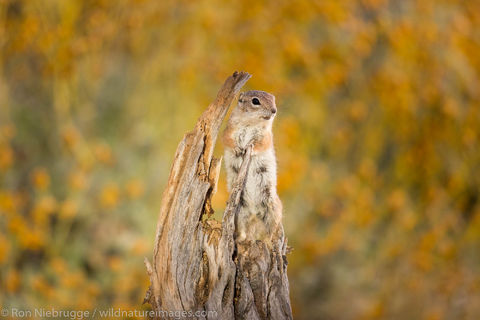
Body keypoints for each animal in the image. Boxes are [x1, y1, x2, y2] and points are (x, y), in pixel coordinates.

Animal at [222, 90, 282, 242]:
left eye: (273, 99)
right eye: (255, 101)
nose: (274, 110)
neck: (251, 123)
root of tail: (254, 214)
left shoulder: (266, 136)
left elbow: (261, 144)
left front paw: (251, 148)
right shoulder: (229, 130)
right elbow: (228, 140)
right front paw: (238, 149)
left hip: (272, 208)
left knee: (270, 231)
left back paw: (267, 240)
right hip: (239, 213)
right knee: (243, 231)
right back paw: (240, 238)